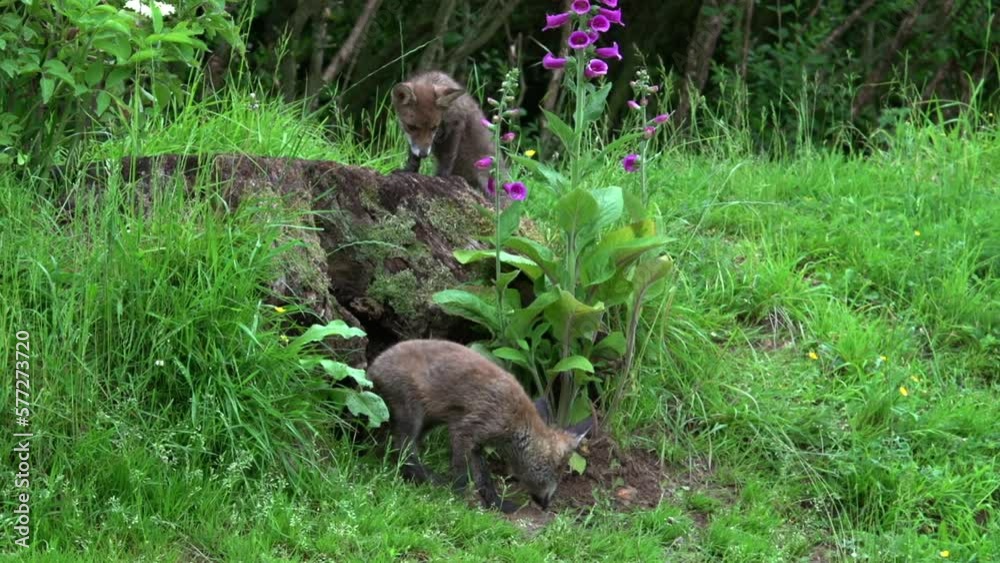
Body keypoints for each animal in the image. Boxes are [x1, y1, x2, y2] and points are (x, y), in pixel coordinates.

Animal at [369, 339, 589, 513]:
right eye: (557, 470)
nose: (546, 506)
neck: (516, 420)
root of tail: (373, 365)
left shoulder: (476, 444)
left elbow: (483, 479)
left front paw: (497, 504)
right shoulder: (465, 431)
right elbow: (464, 475)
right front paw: (456, 499)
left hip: (428, 421)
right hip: (412, 414)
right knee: (404, 449)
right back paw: (430, 479)